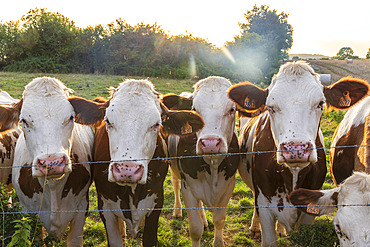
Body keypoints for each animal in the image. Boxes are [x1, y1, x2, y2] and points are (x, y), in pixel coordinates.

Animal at [163, 76, 240, 247]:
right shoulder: (188, 187)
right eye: (194, 109)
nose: (210, 143)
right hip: (174, 168)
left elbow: (219, 220)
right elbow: (195, 228)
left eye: (232, 109)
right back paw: (177, 210)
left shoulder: (228, 185)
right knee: (175, 184)